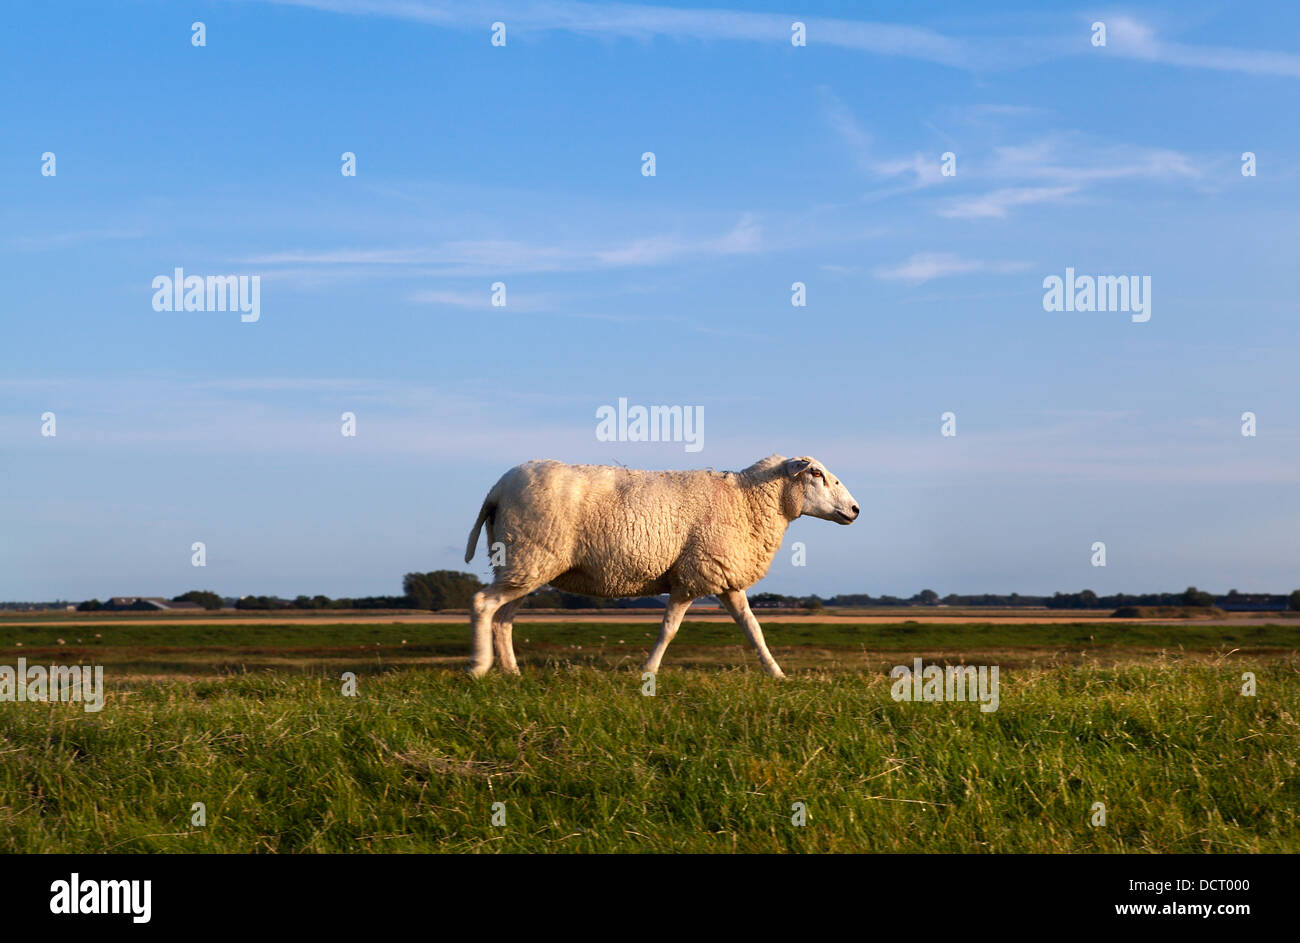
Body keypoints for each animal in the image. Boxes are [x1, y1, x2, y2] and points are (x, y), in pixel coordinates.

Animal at [462, 450, 857, 676]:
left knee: (503, 618)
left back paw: (512, 673)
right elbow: (669, 629)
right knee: (482, 604)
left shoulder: (726, 579)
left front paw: (776, 673)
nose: (855, 509)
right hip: (529, 558)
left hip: (524, 565)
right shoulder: (691, 576)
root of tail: (496, 489)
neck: (747, 501)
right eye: (816, 474)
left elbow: (753, 629)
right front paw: (648, 670)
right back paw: (479, 667)